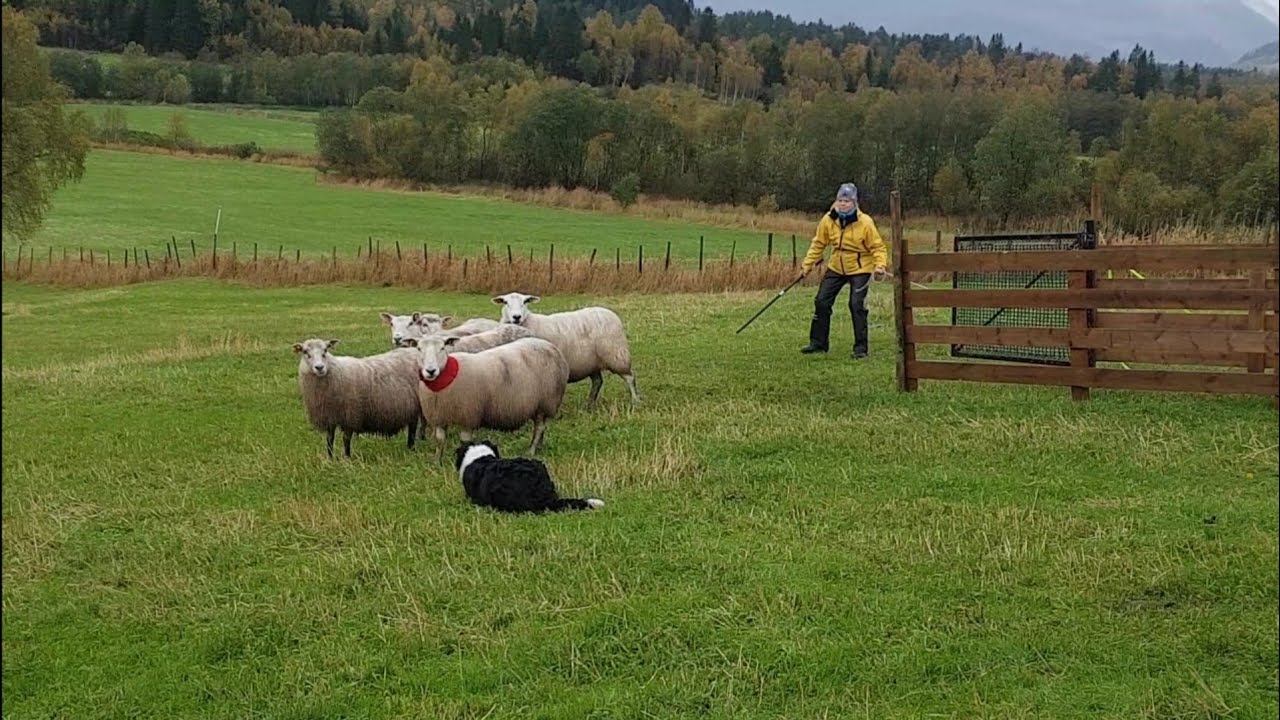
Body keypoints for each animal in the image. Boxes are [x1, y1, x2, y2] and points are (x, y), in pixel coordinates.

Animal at [407, 334, 570, 463]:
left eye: (442, 348)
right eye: (419, 349)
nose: (430, 371)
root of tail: (550, 345)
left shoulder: (468, 417)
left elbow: (464, 441)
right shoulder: (438, 418)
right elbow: (440, 441)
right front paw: (437, 462)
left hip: (546, 401)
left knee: (540, 427)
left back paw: (531, 450)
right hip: (538, 406)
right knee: (540, 427)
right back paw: (539, 447)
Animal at [491, 292, 639, 408]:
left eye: (525, 302)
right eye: (505, 302)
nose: (517, 317)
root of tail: (610, 313)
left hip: (617, 355)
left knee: (630, 378)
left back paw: (635, 400)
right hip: (591, 363)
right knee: (598, 382)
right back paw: (589, 404)